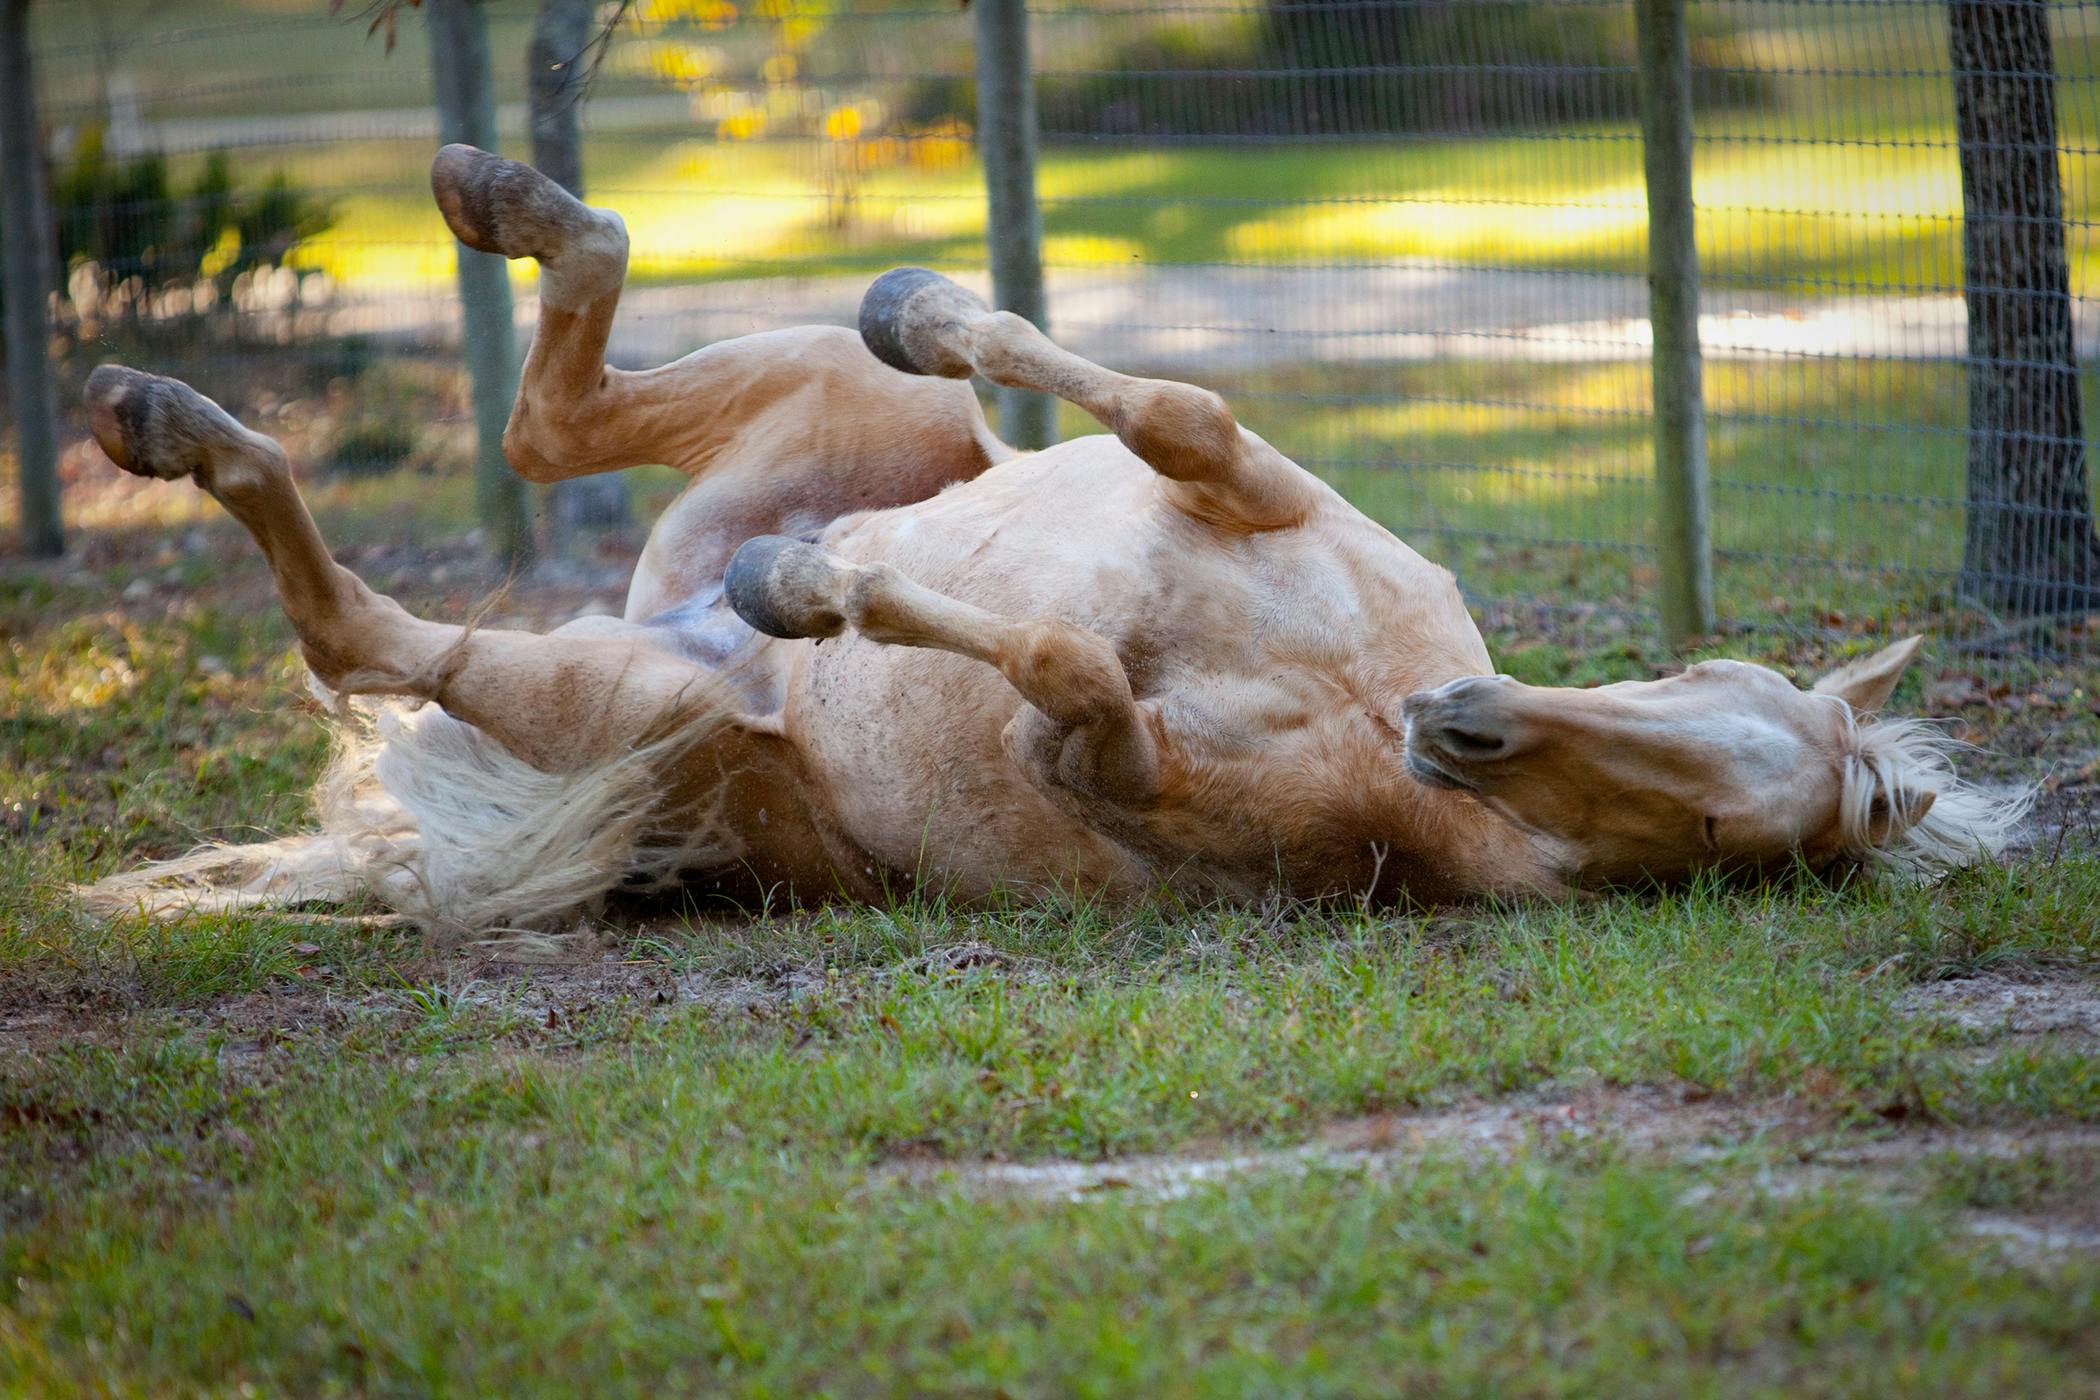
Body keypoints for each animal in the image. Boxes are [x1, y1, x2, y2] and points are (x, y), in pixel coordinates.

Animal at [77, 142, 2015, 936]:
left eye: (1719, 828)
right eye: (1696, 688)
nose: (1460, 727)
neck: (1349, 687)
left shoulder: (1100, 760)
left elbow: (1073, 676)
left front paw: (822, 591)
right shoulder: (1255, 487)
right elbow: (1174, 415)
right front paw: (934, 307)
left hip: (616, 705)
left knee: (375, 636)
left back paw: (179, 423)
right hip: (834, 407)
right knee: (551, 414)